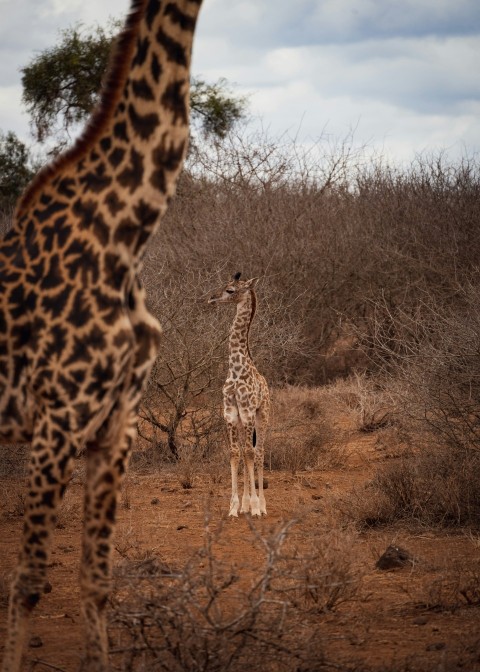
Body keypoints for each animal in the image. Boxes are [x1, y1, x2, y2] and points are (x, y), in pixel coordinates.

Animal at [208, 272, 270, 517]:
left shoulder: (247, 411)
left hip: (262, 416)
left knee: (259, 452)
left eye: (230, 290)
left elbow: (251, 454)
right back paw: (245, 505)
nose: (211, 298)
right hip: (246, 421)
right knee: (247, 452)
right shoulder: (231, 412)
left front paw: (254, 506)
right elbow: (236, 453)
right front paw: (235, 507)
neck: (235, 367)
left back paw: (261, 505)